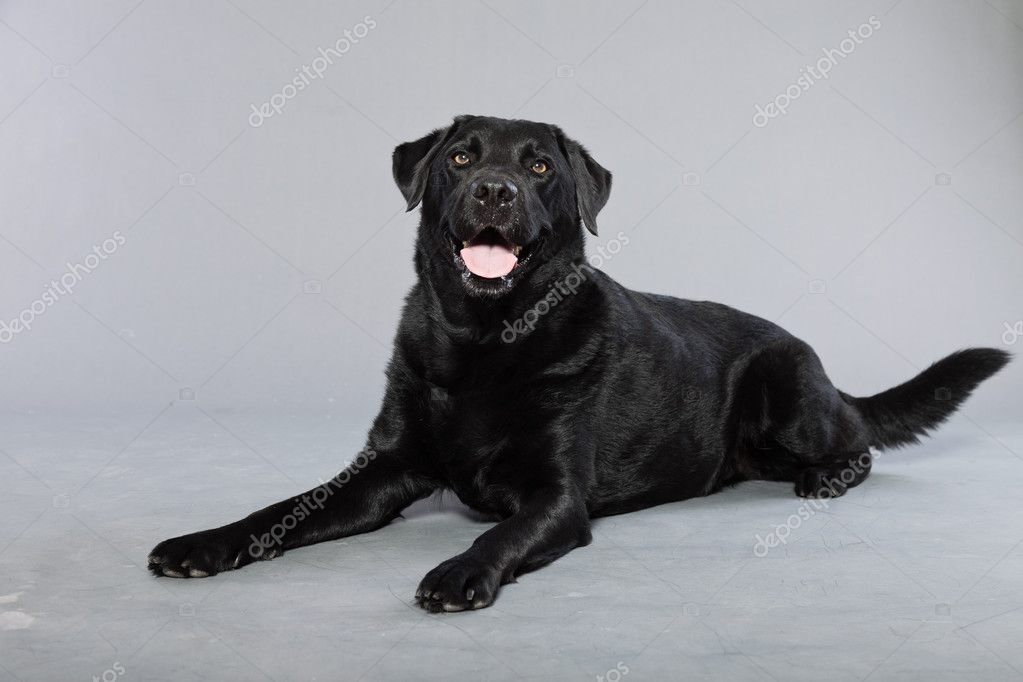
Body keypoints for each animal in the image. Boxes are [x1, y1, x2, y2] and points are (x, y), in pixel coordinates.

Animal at [148, 114, 1010, 609]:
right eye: (459, 159)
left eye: (538, 168)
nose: (494, 191)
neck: (485, 341)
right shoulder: (382, 469)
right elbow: (282, 510)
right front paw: (202, 545)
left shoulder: (556, 498)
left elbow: (497, 537)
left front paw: (459, 572)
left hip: (788, 391)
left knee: (858, 443)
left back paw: (825, 476)